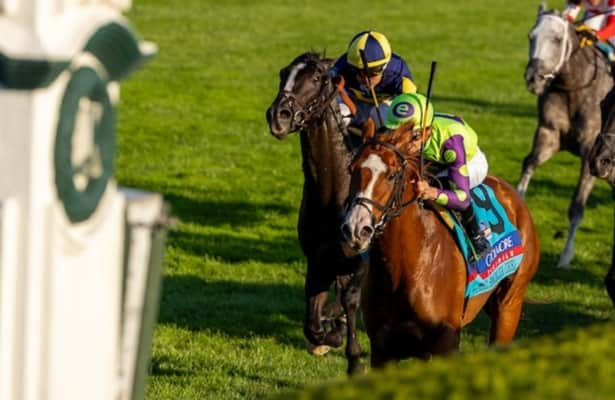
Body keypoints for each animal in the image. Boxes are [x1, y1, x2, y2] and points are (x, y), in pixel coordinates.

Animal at [266, 52, 366, 376]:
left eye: (317, 78)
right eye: (283, 73)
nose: (279, 115)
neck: (333, 195)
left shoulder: (359, 261)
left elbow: (349, 300)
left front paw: (354, 359)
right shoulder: (318, 260)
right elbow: (313, 324)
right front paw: (327, 335)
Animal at [342, 126, 540, 368]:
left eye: (391, 175)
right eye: (351, 170)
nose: (355, 228)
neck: (404, 269)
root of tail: (515, 197)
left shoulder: (446, 343)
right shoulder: (382, 349)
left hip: (509, 304)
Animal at [520, 6, 612, 268]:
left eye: (558, 39)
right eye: (531, 36)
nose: (534, 78)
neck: (575, 85)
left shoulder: (592, 152)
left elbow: (577, 207)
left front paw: (565, 256)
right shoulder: (548, 134)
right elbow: (529, 164)